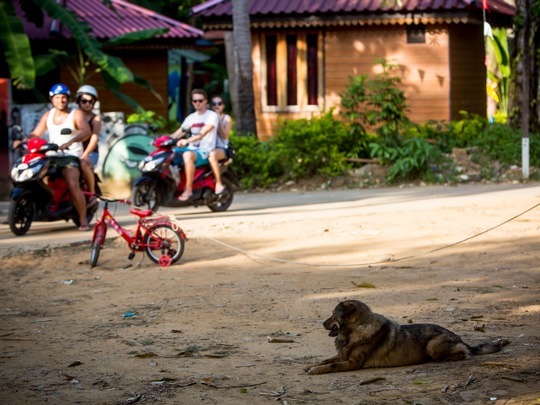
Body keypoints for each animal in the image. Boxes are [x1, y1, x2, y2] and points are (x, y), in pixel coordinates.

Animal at [306, 298, 508, 374]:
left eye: (333, 314)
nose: (322, 324)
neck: (354, 331)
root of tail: (459, 338)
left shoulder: (352, 363)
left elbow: (332, 365)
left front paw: (316, 370)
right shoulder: (342, 356)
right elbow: (327, 359)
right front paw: (311, 365)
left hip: (432, 345)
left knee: (465, 352)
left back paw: (446, 358)